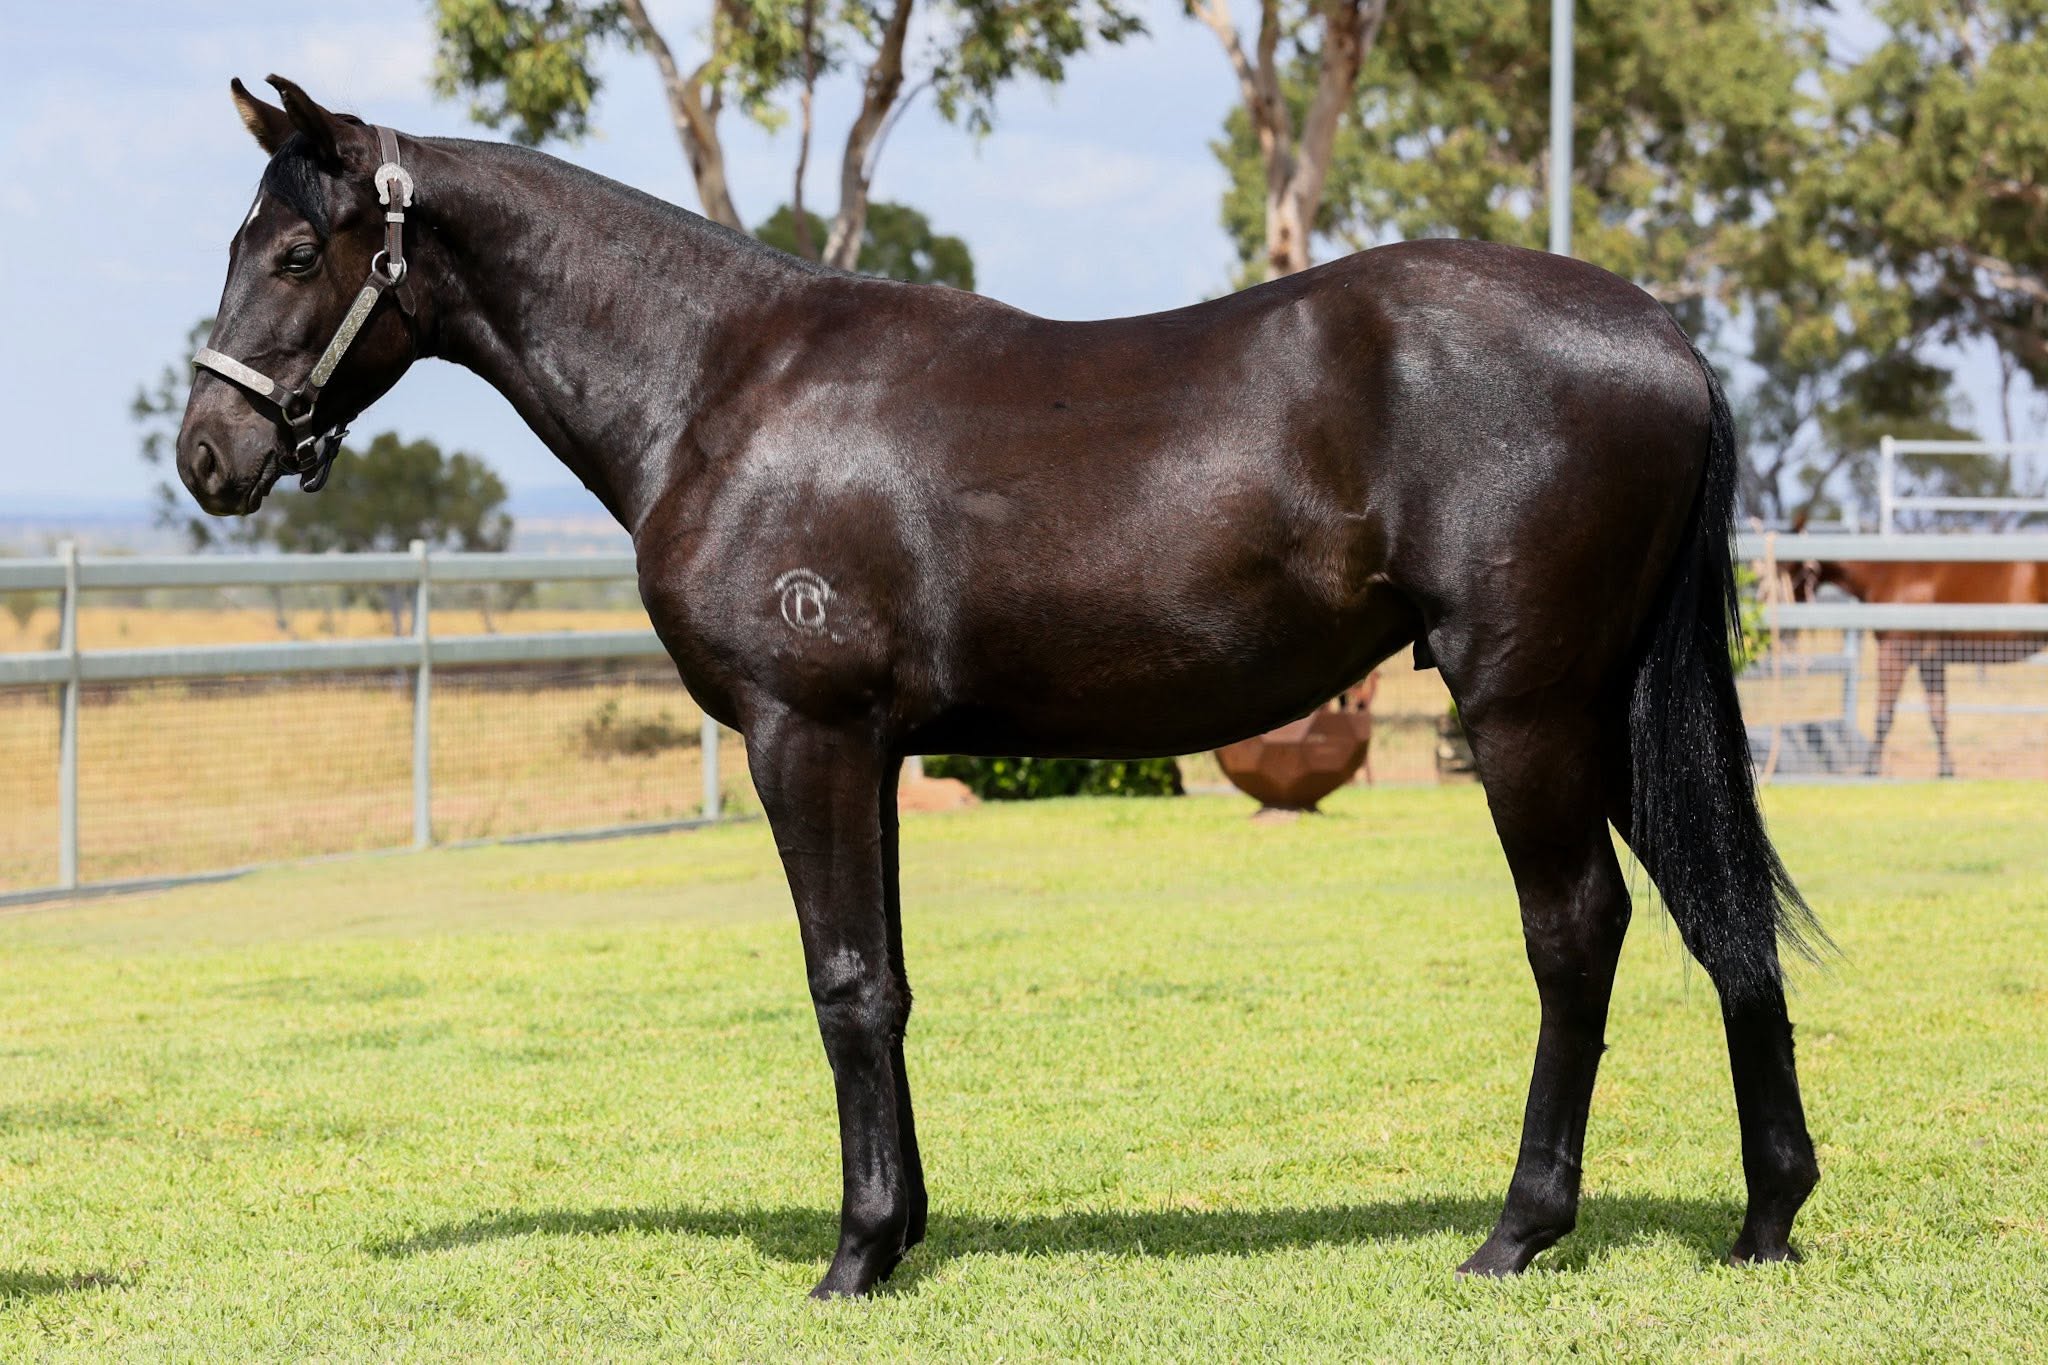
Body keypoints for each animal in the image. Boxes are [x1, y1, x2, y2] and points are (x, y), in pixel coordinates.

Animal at [176, 76, 1826, 1298]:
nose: (208, 454)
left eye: (297, 255)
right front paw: (902, 1229)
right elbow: (892, 982)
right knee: (1721, 915)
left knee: (1580, 930)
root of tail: (1666, 340)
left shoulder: (806, 737)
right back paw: (1767, 1213)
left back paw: (1520, 1229)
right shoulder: (877, 750)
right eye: (246, 246)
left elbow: (844, 982)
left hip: (1528, 707)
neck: (723, 384)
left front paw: (852, 1257)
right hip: (1616, 705)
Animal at [1794, 558, 2048, 777]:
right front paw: (1946, 771)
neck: (1885, 572)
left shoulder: (1894, 651)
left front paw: (1871, 769)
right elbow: (1938, 716)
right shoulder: (1930, 661)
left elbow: (1884, 715)